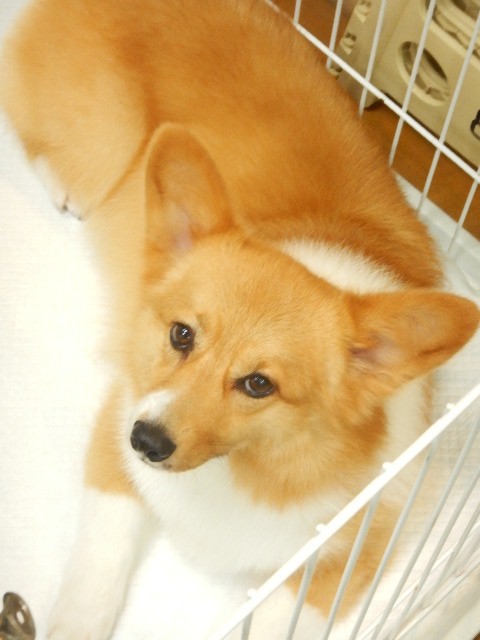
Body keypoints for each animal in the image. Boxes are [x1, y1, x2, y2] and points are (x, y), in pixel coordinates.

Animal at [1, 0, 479, 638]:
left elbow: (283, 617)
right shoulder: (119, 429)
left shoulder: (351, 544)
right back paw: (67, 191)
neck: (239, 471)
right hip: (104, 141)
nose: (146, 440)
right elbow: (97, 570)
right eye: (181, 334)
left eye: (259, 384)